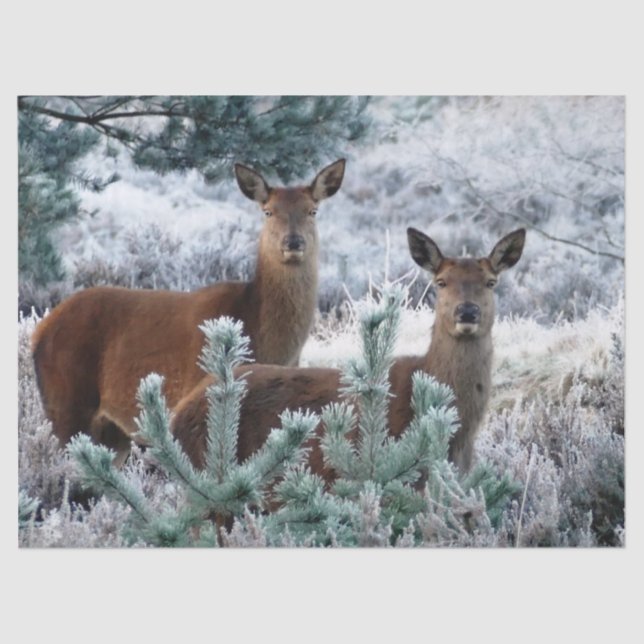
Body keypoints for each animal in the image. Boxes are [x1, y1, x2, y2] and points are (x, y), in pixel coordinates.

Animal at [32, 158, 346, 466]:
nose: (293, 242)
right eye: (268, 211)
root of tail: (39, 331)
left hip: (111, 432)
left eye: (312, 210)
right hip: (67, 403)